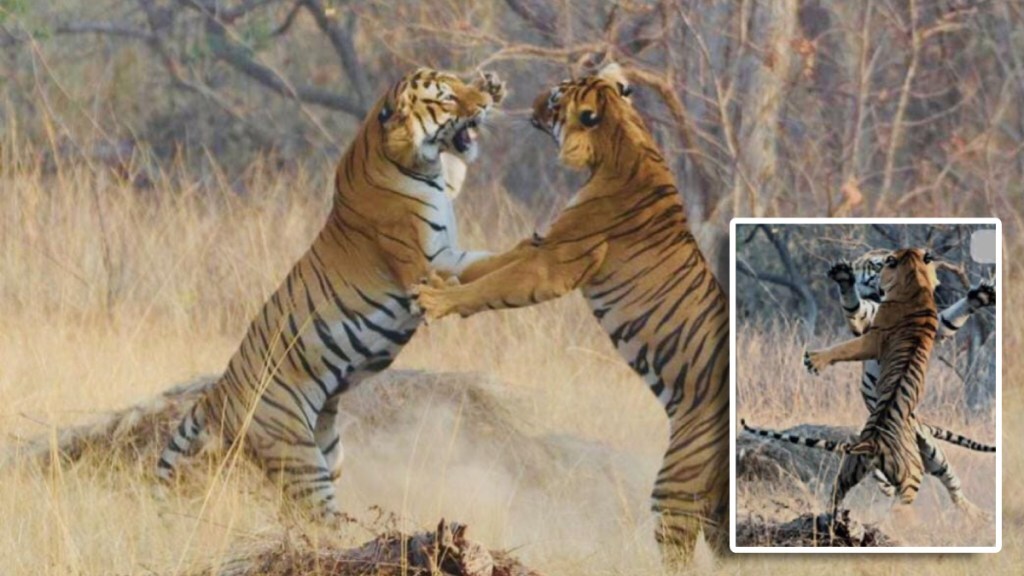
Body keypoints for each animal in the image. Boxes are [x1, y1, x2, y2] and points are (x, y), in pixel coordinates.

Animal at [156, 68, 507, 520]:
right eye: (447, 98)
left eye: (461, 83)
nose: (484, 102)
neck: (413, 162)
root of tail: (218, 392)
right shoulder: (428, 264)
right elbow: (469, 279)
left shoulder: (451, 235)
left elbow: (494, 259)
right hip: (299, 457)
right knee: (317, 519)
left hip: (329, 451)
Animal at [411, 62, 733, 561]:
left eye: (556, 97)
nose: (532, 98)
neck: (622, 135)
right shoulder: (541, 243)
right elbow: (487, 267)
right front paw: (444, 276)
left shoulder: (553, 264)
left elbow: (492, 286)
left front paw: (439, 299)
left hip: (676, 483)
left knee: (678, 549)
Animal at [802, 249, 937, 508]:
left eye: (881, 264)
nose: (856, 270)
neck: (916, 282)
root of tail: (872, 443)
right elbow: (854, 310)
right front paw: (843, 276)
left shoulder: (872, 337)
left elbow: (844, 348)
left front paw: (814, 360)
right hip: (850, 469)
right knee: (838, 494)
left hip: (909, 476)